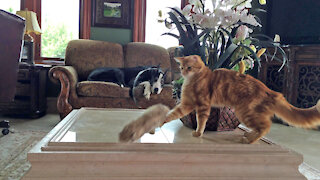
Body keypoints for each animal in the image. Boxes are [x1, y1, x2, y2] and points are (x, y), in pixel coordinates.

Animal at [165, 54, 320, 143]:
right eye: (182, 67)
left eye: (189, 67)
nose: (183, 72)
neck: (193, 80)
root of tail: (270, 91)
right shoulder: (187, 104)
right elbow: (173, 114)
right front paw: (163, 120)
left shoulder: (203, 106)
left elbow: (201, 121)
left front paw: (198, 133)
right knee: (262, 126)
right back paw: (249, 135)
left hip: (244, 113)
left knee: (266, 126)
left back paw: (249, 140)